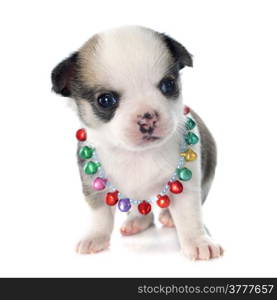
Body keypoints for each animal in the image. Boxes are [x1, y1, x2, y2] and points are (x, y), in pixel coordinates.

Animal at [50, 25, 222, 260]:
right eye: (105, 100)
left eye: (168, 85)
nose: (147, 117)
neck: (137, 154)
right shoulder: (94, 185)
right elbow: (100, 215)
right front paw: (95, 237)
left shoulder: (187, 188)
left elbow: (190, 217)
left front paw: (198, 241)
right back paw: (136, 221)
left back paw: (167, 216)